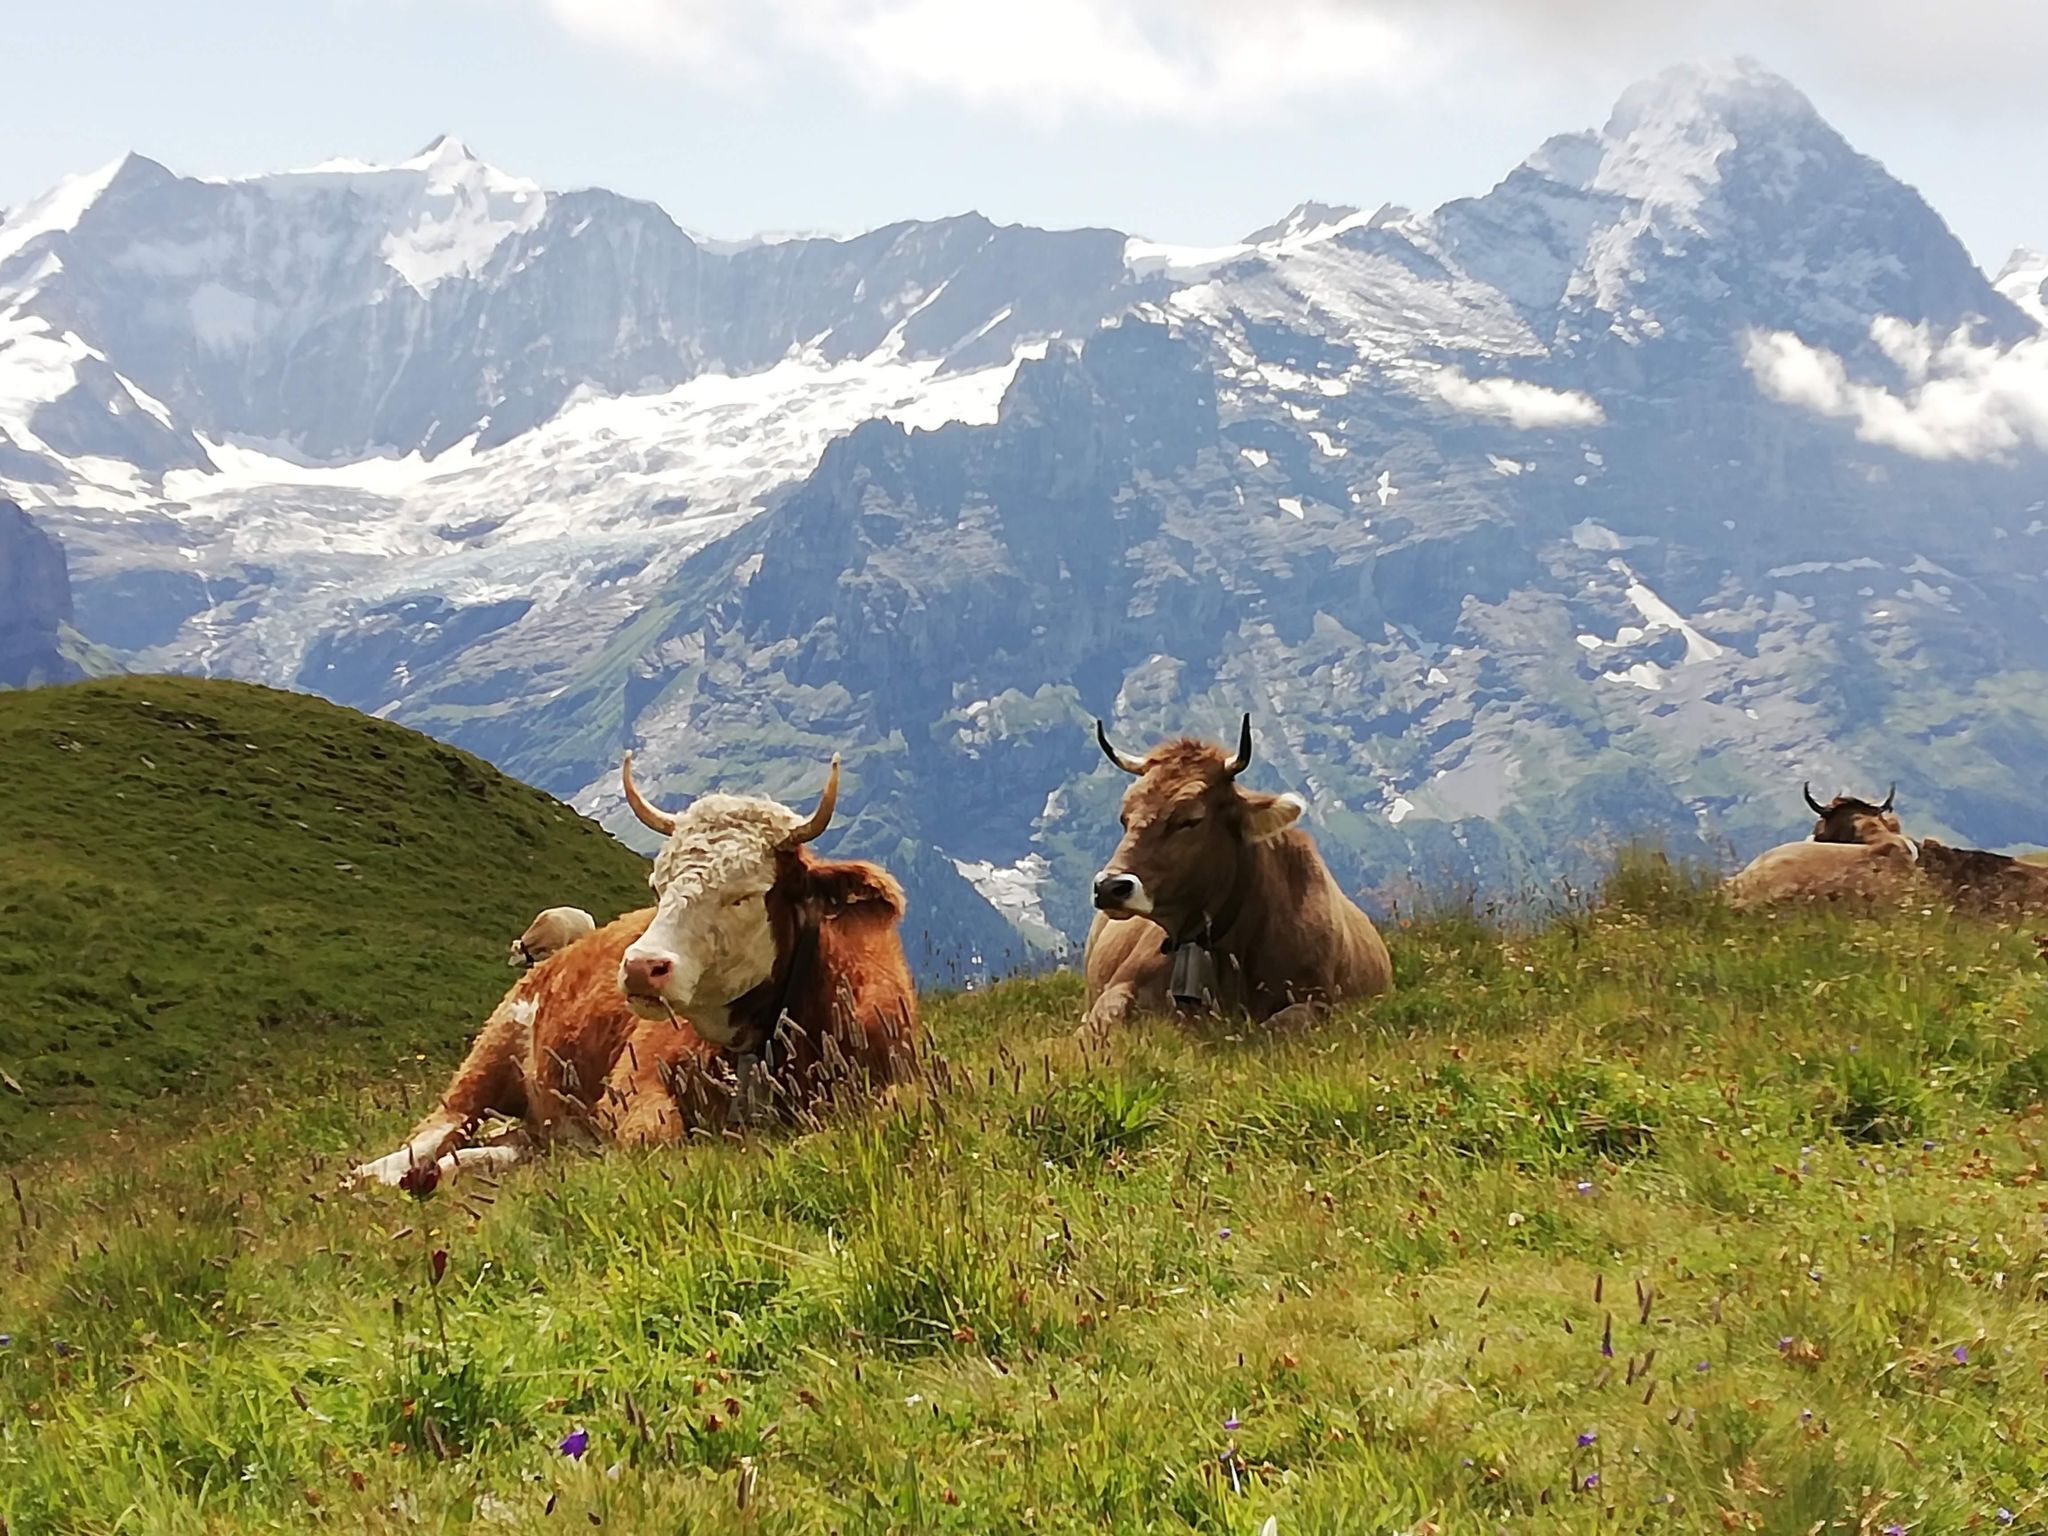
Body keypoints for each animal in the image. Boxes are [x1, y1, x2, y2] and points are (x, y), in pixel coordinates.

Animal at [349, 754, 920, 1187]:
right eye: (657, 886)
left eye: (742, 896)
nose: (644, 967)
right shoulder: (634, 1082)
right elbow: (653, 1138)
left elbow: (897, 1108)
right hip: (485, 1060)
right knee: (433, 1132)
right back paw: (373, 1177)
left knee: (504, 1145)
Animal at [1081, 714, 1392, 1037]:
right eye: (1125, 817)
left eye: (1190, 819)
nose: (1110, 887)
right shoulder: (1118, 988)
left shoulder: (1319, 1002)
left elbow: (1275, 1025)